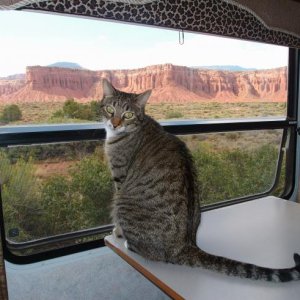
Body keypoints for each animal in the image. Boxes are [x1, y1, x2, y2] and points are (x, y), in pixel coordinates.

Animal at [101, 78, 300, 282]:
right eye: (110, 109)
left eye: (128, 114)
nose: (114, 124)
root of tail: (185, 246)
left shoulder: (119, 176)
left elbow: (117, 219)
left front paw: (117, 231)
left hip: (123, 202)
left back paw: (130, 244)